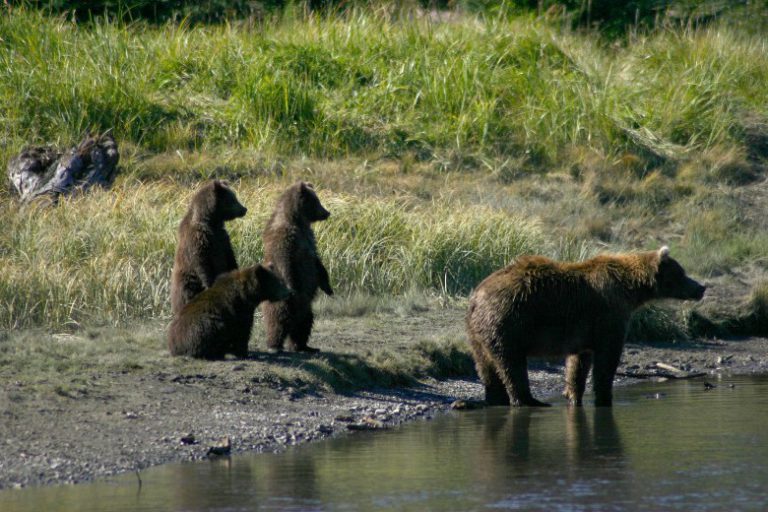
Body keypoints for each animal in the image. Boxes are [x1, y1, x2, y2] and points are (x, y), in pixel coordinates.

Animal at [170, 180, 247, 316]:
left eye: (235, 197)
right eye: (232, 199)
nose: (244, 209)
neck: (211, 222)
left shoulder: (222, 239)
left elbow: (230, 257)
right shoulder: (198, 241)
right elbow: (202, 264)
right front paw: (209, 285)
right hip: (187, 283)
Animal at [261, 181, 333, 352]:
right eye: (316, 201)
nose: (327, 213)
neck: (297, 221)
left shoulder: (308, 238)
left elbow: (316, 261)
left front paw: (328, 288)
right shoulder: (285, 238)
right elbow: (285, 259)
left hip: (305, 305)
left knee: (305, 322)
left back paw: (303, 346)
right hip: (282, 298)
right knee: (278, 317)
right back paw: (274, 345)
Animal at [466, 246, 706, 407]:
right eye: (682, 273)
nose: (701, 287)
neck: (631, 290)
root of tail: (476, 296)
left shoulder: (584, 330)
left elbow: (579, 362)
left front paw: (573, 395)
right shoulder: (609, 315)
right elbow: (607, 358)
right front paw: (604, 397)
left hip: (479, 333)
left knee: (485, 364)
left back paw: (496, 398)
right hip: (510, 320)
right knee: (511, 363)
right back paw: (529, 400)